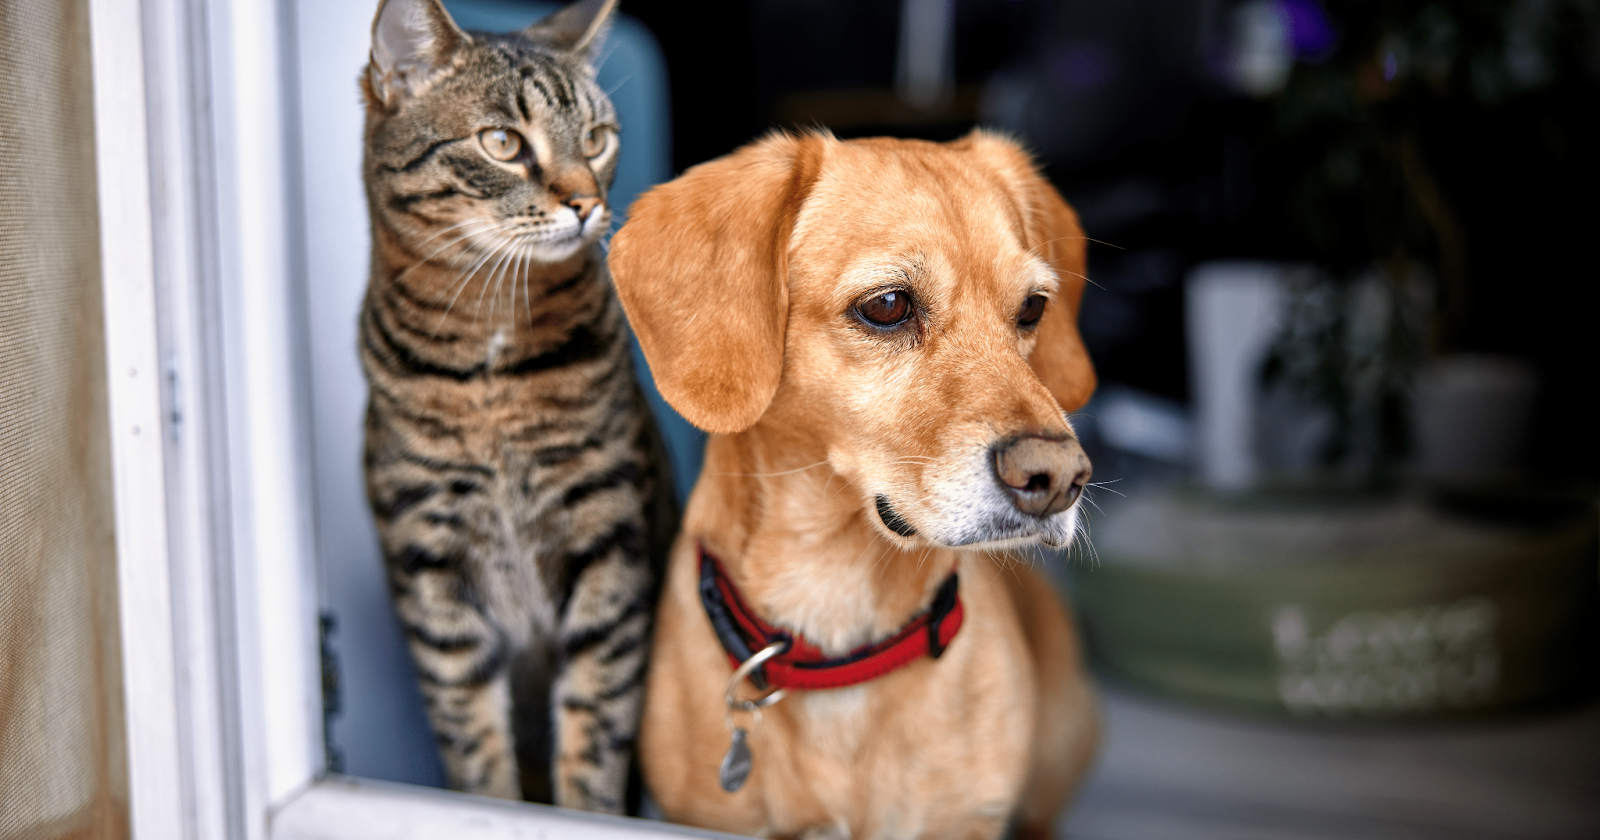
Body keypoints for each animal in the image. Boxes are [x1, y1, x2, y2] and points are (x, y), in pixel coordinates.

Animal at [356, 0, 668, 812]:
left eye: (596, 139)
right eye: (502, 143)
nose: (587, 202)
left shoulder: (608, 535)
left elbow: (596, 717)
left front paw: (588, 814)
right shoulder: (430, 556)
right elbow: (471, 731)